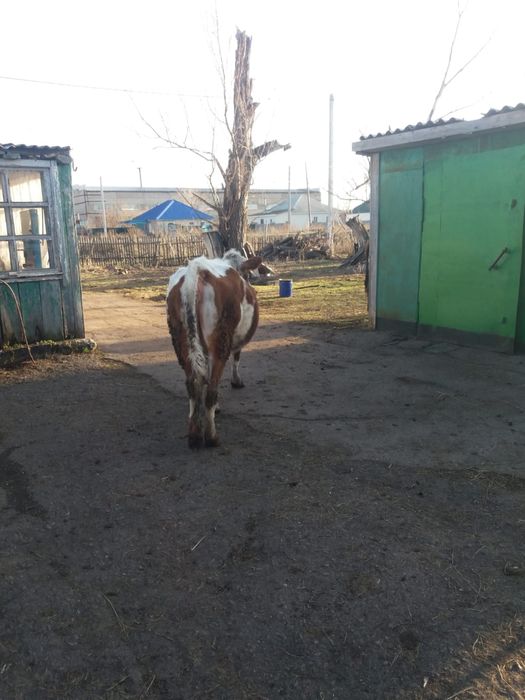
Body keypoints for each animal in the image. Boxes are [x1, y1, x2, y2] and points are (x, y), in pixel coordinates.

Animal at [166, 249, 262, 448]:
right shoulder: (234, 338)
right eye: (248, 275)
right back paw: (211, 437)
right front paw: (236, 381)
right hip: (221, 339)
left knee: (193, 383)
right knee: (211, 390)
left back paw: (194, 434)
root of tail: (197, 268)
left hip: (182, 340)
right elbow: (236, 357)